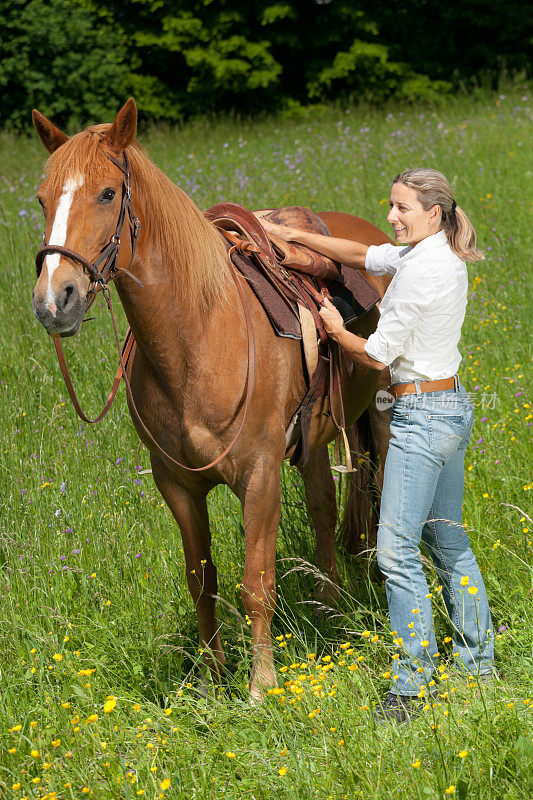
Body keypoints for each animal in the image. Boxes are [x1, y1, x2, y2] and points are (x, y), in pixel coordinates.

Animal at [32, 100, 390, 700]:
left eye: (107, 193)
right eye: (41, 198)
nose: (53, 301)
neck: (198, 337)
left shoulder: (261, 477)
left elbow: (255, 583)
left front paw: (260, 687)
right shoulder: (177, 485)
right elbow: (202, 578)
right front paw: (210, 680)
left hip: (385, 418)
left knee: (381, 491)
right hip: (316, 440)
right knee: (324, 507)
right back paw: (330, 607)